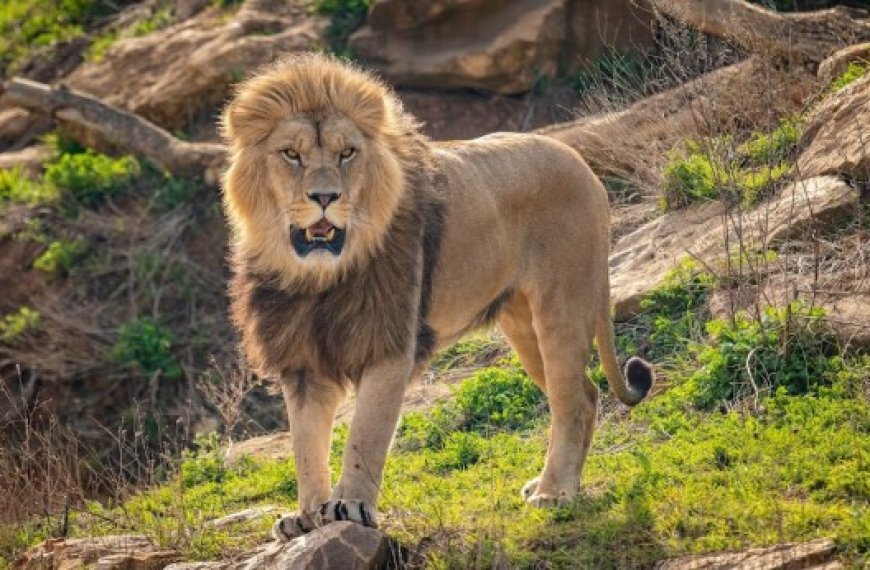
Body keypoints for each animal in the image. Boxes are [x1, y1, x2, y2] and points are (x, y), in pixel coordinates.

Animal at [220, 53, 656, 536]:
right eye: (291, 154)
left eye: (346, 152)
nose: (325, 196)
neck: (319, 279)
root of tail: (584, 165)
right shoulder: (303, 359)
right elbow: (305, 443)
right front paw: (308, 515)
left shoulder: (389, 342)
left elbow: (365, 434)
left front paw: (350, 505)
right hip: (523, 327)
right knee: (588, 393)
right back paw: (560, 487)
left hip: (562, 306)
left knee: (573, 401)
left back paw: (553, 493)